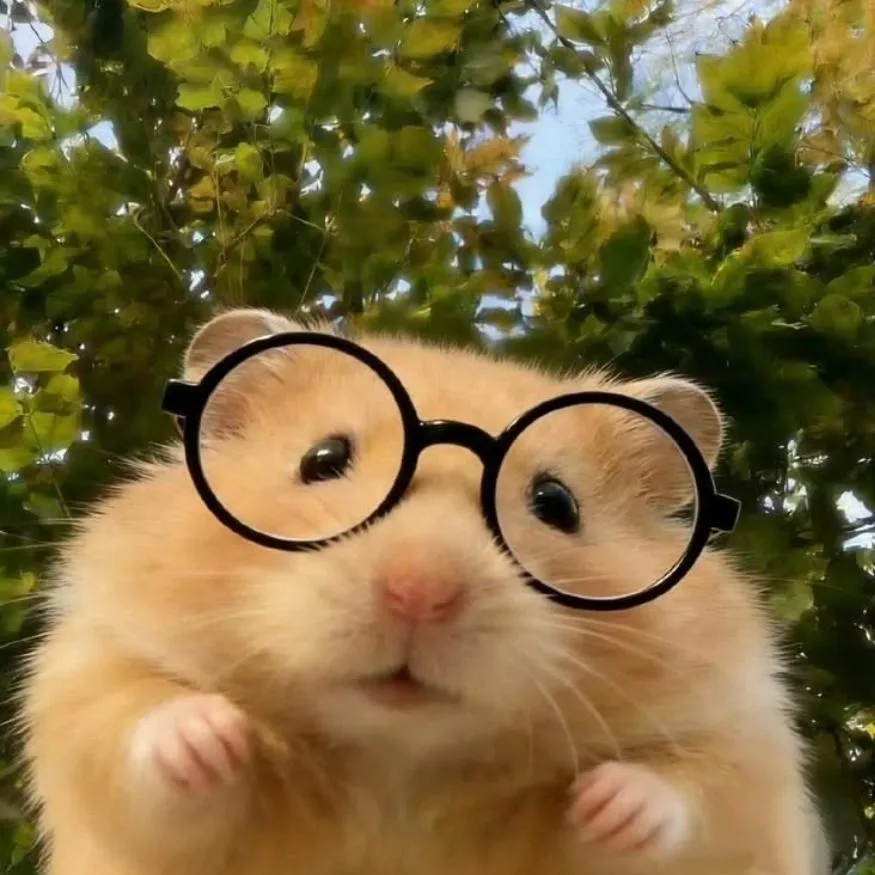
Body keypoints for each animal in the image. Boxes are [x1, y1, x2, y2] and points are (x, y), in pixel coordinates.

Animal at [20, 307, 826, 875]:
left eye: (556, 504)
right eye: (322, 459)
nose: (420, 592)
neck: (398, 760)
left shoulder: (745, 744)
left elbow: (684, 796)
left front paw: (608, 800)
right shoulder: (87, 671)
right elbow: (140, 731)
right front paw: (218, 731)